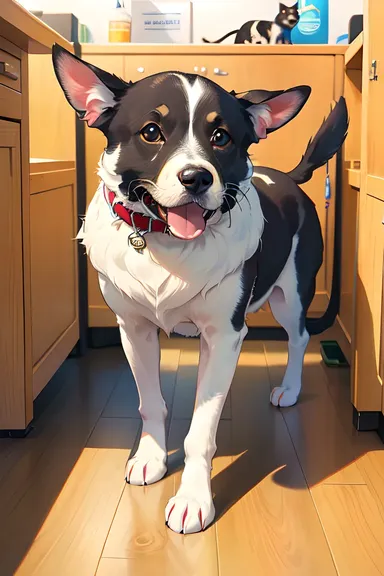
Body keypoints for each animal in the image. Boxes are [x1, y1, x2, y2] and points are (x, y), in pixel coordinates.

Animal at [52, 45, 350, 536]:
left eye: (222, 137)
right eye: (151, 132)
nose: (197, 178)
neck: (165, 242)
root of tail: (289, 176)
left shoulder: (225, 337)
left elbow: (202, 432)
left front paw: (193, 500)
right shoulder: (133, 330)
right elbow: (150, 404)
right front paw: (151, 459)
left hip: (291, 292)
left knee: (299, 335)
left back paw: (289, 389)